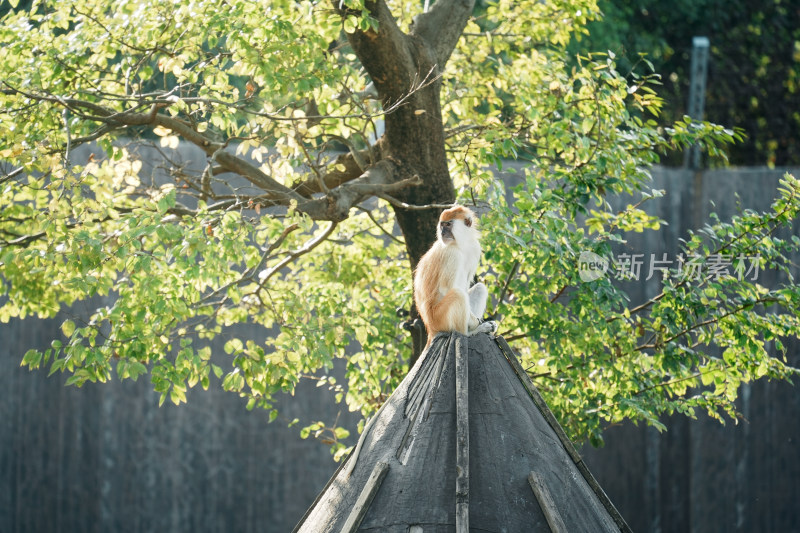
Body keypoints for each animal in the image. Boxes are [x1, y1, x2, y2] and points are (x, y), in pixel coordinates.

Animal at [412, 204, 494, 344]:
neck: (460, 244)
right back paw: (469, 332)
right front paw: (476, 324)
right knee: (458, 295)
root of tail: (431, 328)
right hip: (440, 319)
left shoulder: (474, 247)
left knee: (479, 288)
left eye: (448, 224)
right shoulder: (450, 253)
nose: (443, 233)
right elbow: (447, 288)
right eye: (442, 225)